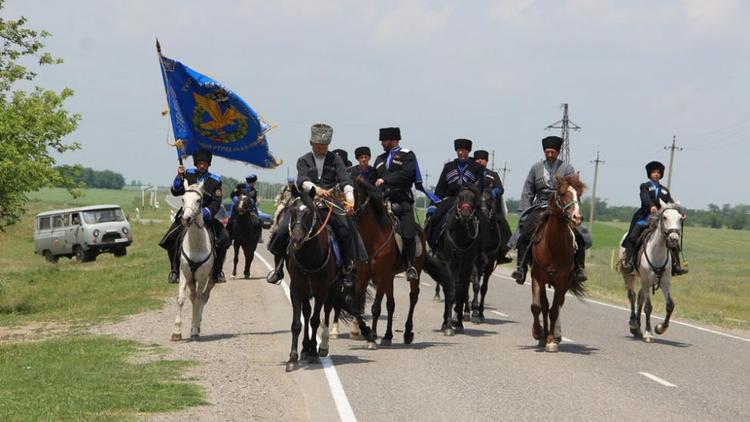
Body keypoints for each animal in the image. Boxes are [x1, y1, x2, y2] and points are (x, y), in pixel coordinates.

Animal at [172, 183, 216, 342]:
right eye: (183, 198)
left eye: (198, 200)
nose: (186, 219)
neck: (196, 245)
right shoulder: (184, 273)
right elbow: (181, 299)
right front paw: (176, 332)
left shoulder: (202, 277)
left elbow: (199, 299)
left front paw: (195, 329)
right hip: (191, 279)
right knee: (193, 297)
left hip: (210, 279)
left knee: (203, 297)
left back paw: (197, 324)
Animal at [528, 173, 588, 352]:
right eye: (562, 193)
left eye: (578, 194)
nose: (577, 218)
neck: (553, 245)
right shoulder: (537, 277)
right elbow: (537, 307)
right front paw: (538, 332)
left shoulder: (562, 281)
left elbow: (555, 310)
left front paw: (550, 340)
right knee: (544, 306)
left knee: (558, 305)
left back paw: (555, 335)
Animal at [616, 202, 688, 342]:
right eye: (664, 217)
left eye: (680, 218)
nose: (674, 239)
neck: (657, 252)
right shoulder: (645, 280)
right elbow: (648, 307)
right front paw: (648, 333)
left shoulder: (665, 282)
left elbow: (670, 305)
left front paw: (660, 328)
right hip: (629, 275)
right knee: (632, 296)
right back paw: (633, 325)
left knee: (640, 298)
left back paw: (637, 328)